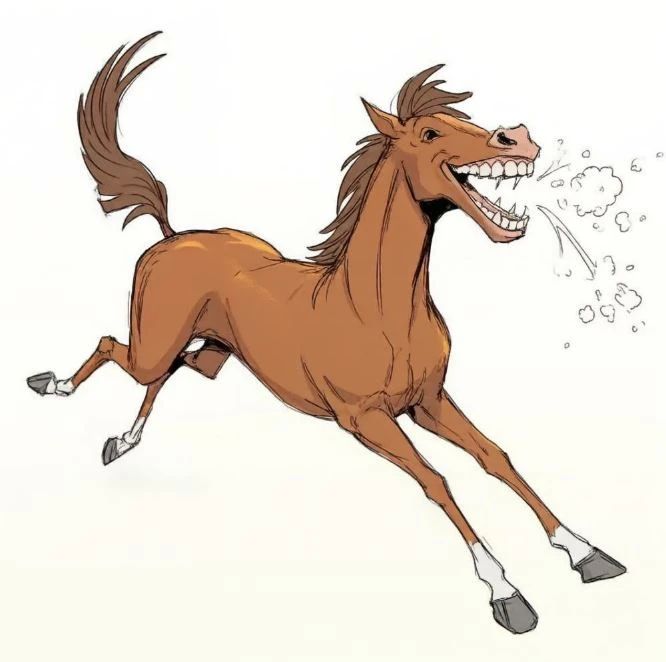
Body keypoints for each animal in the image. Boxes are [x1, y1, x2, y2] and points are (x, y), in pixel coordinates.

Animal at [27, 32, 626, 634]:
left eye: (468, 119)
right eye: (431, 133)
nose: (517, 138)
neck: (378, 310)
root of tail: (174, 237)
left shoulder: (428, 401)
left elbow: (495, 456)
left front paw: (587, 552)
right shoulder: (366, 419)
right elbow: (436, 480)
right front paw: (506, 593)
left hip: (214, 354)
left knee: (169, 371)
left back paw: (122, 441)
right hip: (156, 341)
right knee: (117, 349)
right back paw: (55, 388)